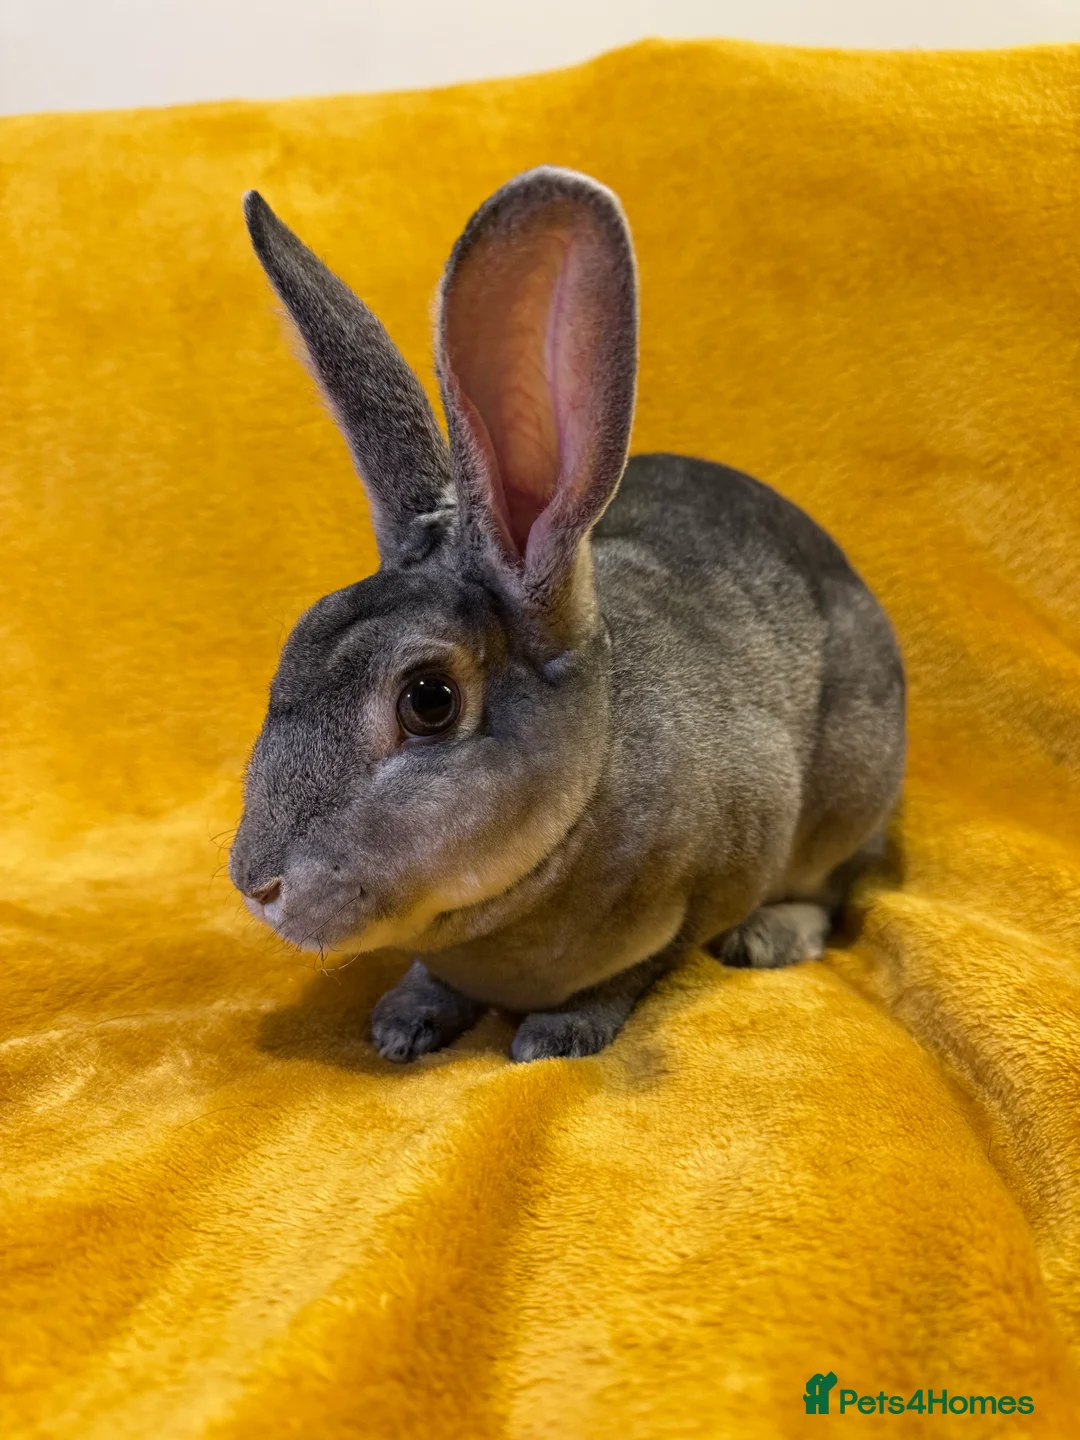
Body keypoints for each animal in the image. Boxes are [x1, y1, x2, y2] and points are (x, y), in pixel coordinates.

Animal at [229, 166, 905, 1065]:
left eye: (429, 701)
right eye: (297, 639)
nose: (255, 883)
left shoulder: (701, 889)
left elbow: (634, 972)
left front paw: (555, 1037)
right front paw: (404, 1023)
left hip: (852, 792)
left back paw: (768, 936)